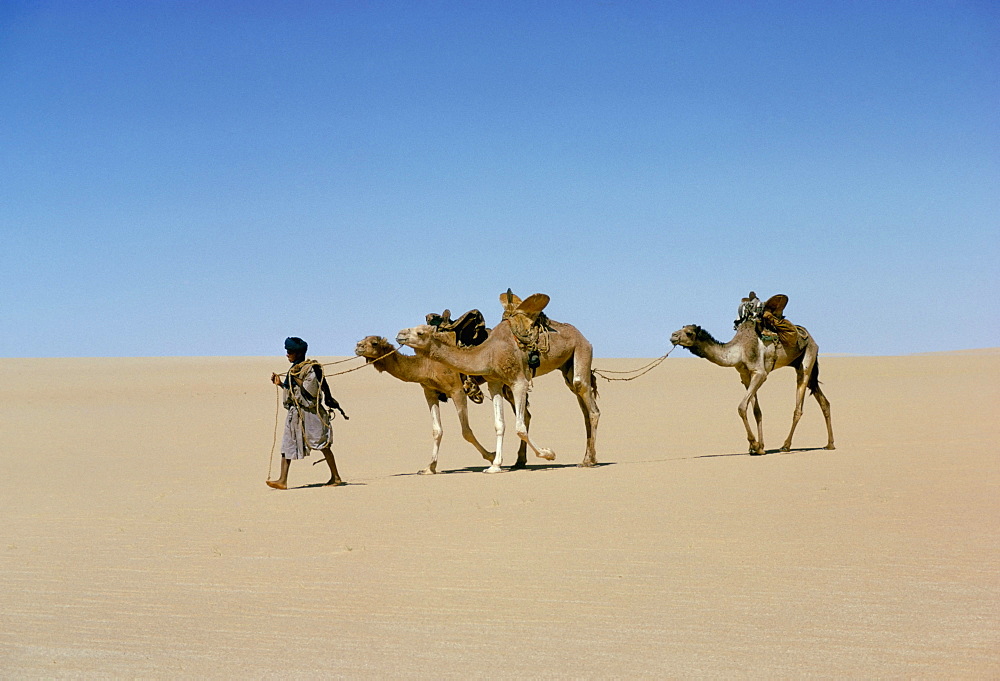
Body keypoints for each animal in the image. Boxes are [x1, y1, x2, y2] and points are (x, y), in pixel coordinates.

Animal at [358, 334, 500, 472]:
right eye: (363, 339)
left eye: (374, 343)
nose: (358, 346)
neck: (426, 366)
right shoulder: (429, 392)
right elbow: (437, 430)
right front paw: (430, 467)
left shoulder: (457, 390)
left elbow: (466, 432)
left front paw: (491, 456)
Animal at [396, 290, 600, 472]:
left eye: (420, 333)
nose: (400, 334)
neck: (488, 352)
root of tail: (582, 336)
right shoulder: (494, 383)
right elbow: (499, 424)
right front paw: (495, 465)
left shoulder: (519, 382)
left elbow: (520, 427)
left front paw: (548, 454)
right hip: (567, 366)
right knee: (581, 404)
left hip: (582, 349)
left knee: (589, 402)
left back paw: (588, 461)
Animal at [672, 316, 836, 454]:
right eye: (682, 327)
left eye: (688, 332)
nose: (673, 336)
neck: (738, 351)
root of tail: (812, 340)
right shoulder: (745, 376)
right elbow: (757, 411)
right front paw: (760, 447)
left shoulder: (760, 373)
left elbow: (741, 407)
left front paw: (754, 444)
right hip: (800, 364)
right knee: (824, 402)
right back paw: (830, 444)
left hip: (807, 359)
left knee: (799, 406)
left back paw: (786, 445)